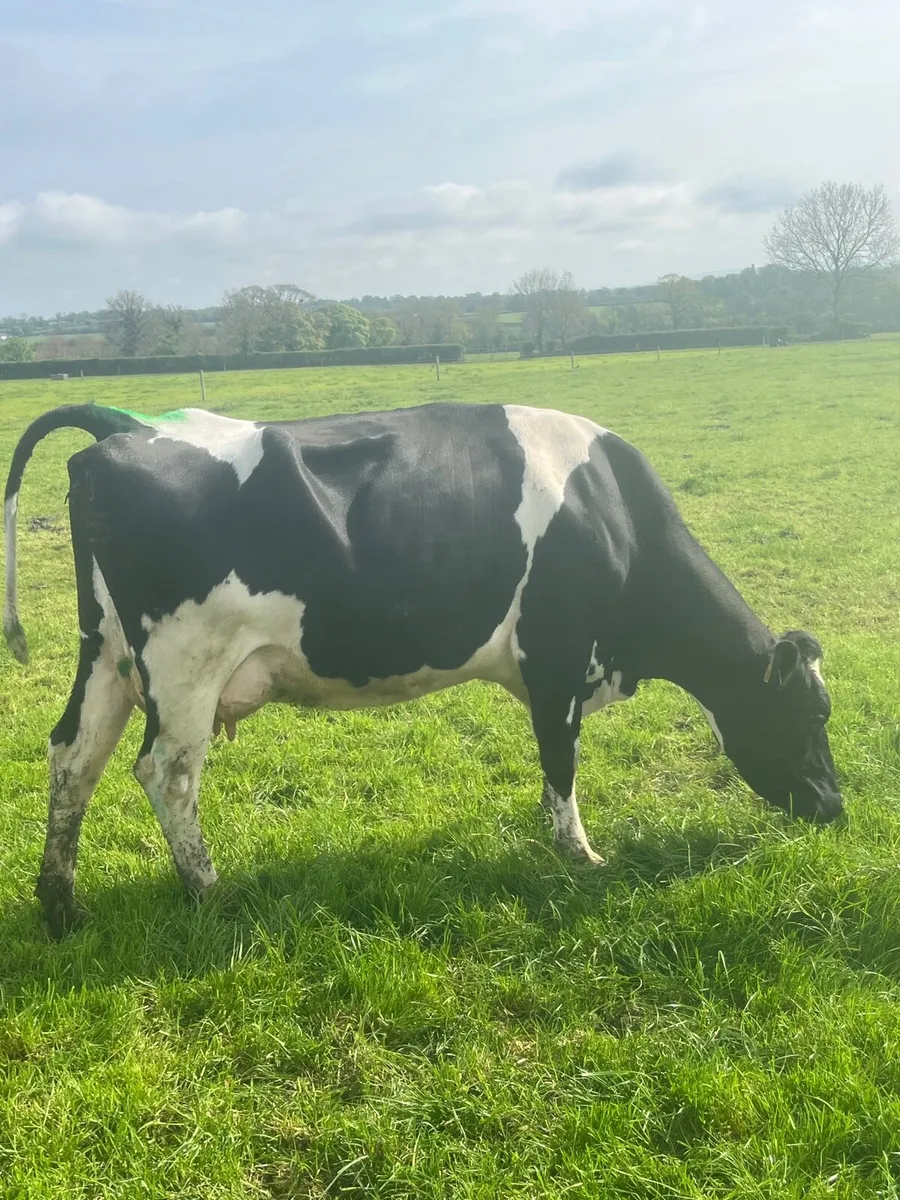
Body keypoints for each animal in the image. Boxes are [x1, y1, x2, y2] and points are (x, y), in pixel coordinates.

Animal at [3, 402, 842, 938]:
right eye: (813, 714)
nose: (836, 806)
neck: (612, 513)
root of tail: (124, 431)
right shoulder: (557, 659)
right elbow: (560, 764)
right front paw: (580, 855)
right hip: (186, 664)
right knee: (167, 772)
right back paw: (210, 892)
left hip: (106, 654)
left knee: (73, 757)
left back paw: (61, 905)